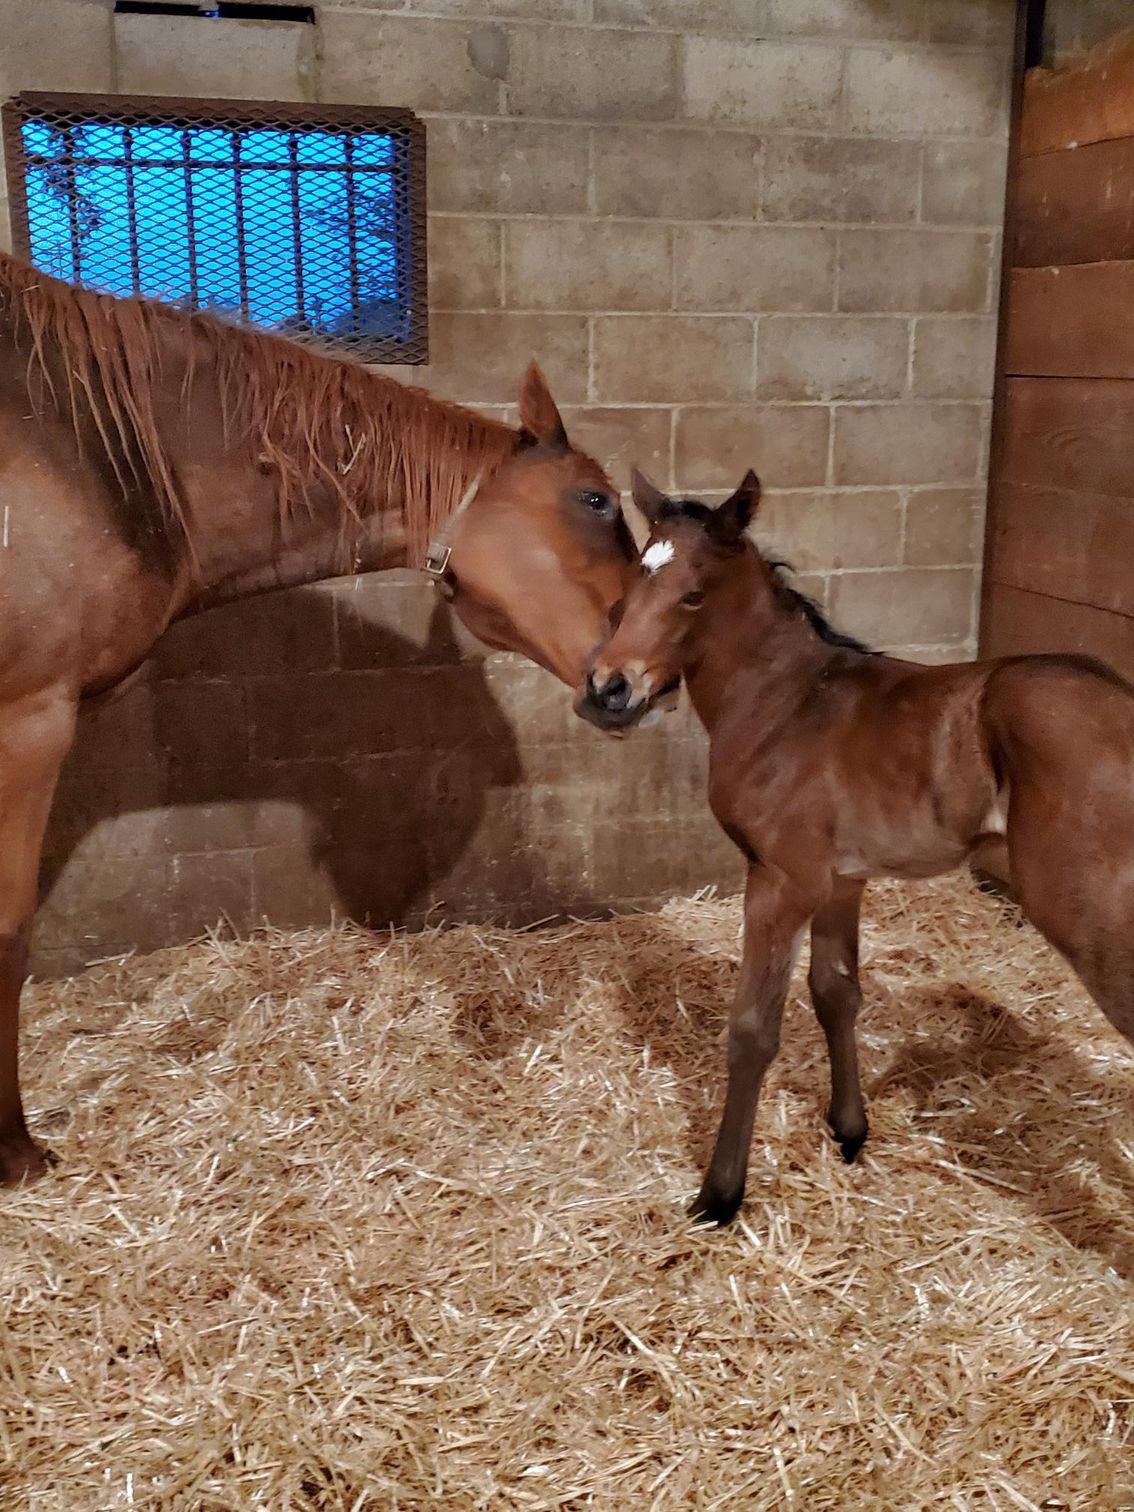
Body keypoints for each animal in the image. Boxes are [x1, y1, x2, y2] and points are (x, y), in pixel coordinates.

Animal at [0, 254, 638, 1186]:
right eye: (595, 500)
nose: (644, 679)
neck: (92, 455)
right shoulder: (29, 720)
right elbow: (8, 933)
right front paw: (14, 1152)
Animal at [578, 467, 1134, 1226]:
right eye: (633, 582)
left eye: (693, 594)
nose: (608, 690)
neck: (786, 703)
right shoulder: (842, 879)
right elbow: (836, 991)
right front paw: (849, 1130)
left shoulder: (781, 880)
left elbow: (753, 1031)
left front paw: (720, 1194)